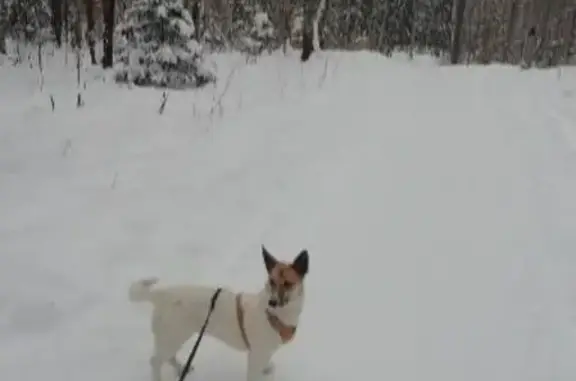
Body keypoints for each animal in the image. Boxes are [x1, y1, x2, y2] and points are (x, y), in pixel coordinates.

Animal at [129, 243, 310, 380]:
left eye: (288, 283)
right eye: (271, 282)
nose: (272, 302)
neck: (273, 315)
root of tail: (162, 294)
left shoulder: (263, 353)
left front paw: (267, 369)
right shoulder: (255, 357)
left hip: (174, 336)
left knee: (168, 357)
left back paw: (181, 368)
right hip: (173, 335)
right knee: (155, 361)